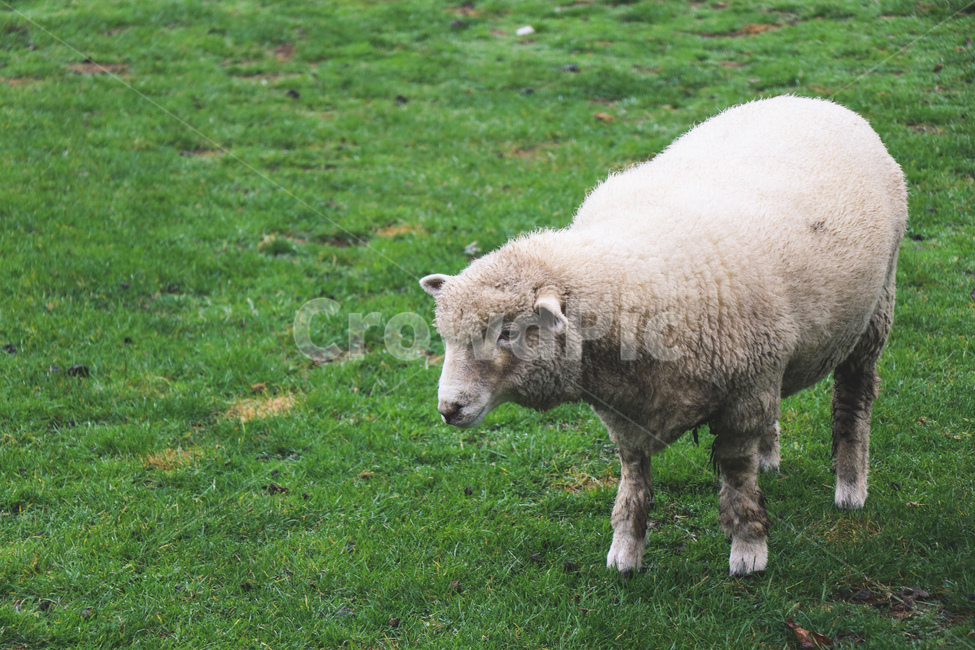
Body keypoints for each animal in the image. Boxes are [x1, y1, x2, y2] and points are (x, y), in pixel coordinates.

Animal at [419, 95, 907, 576]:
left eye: (508, 333)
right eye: (447, 336)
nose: (448, 409)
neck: (632, 278)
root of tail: (815, 99)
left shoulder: (742, 399)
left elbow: (737, 476)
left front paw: (748, 549)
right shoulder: (633, 412)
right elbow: (634, 481)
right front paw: (625, 552)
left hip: (874, 312)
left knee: (853, 399)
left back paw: (850, 487)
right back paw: (772, 456)